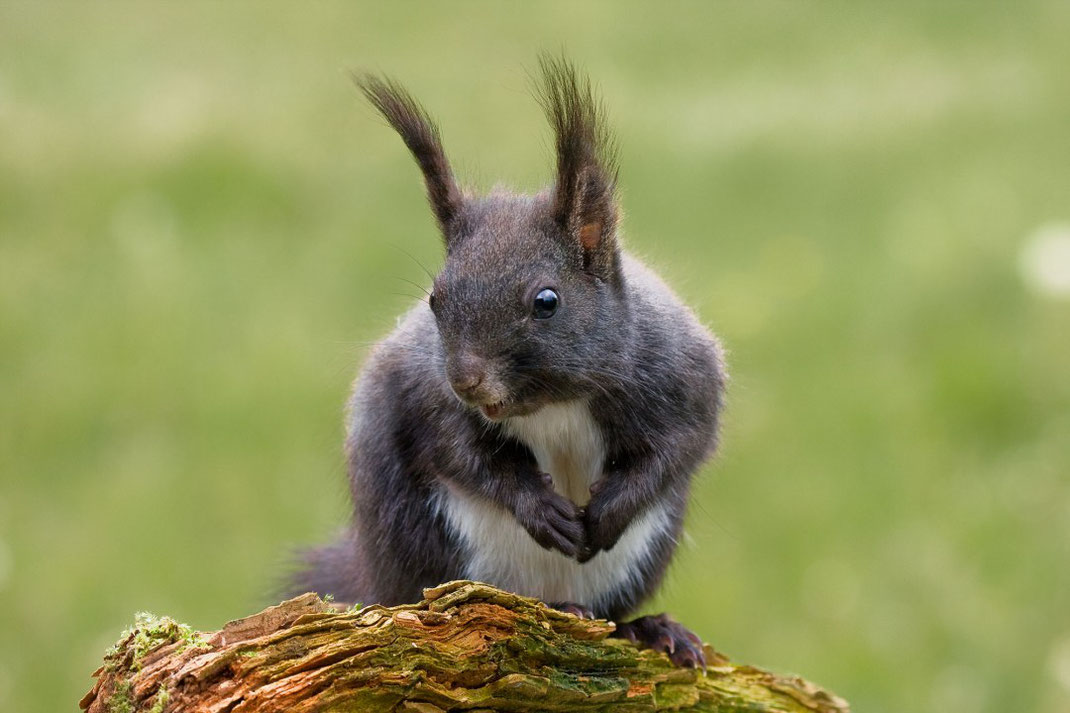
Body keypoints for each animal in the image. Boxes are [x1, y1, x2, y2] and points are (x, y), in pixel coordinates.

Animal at [291, 57, 727, 668]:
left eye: (547, 301)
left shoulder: (681, 375)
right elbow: (460, 454)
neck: (552, 403)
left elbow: (679, 447)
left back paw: (650, 628)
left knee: (614, 614)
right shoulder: (423, 397)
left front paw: (611, 510)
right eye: (435, 299)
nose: (466, 380)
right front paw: (539, 508)